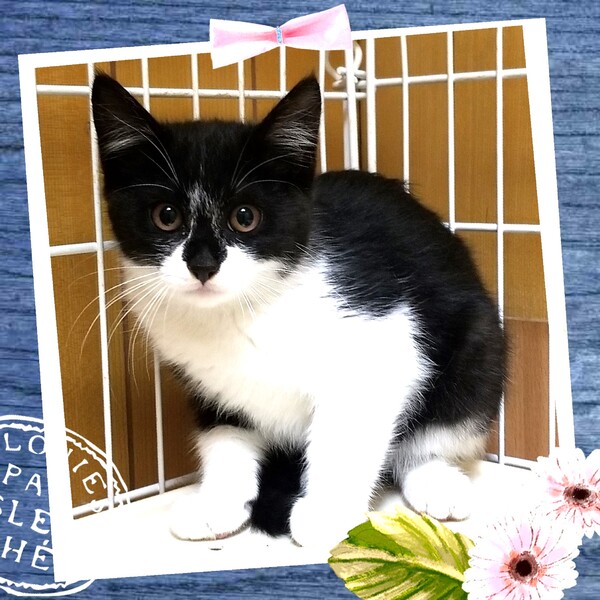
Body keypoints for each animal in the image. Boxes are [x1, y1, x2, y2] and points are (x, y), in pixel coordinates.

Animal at [91, 73, 505, 550]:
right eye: (166, 216)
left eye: (245, 217)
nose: (203, 265)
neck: (245, 309)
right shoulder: (209, 382)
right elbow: (225, 435)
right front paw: (218, 502)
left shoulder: (383, 339)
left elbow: (345, 431)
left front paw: (326, 512)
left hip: (478, 349)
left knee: (432, 432)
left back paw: (436, 481)